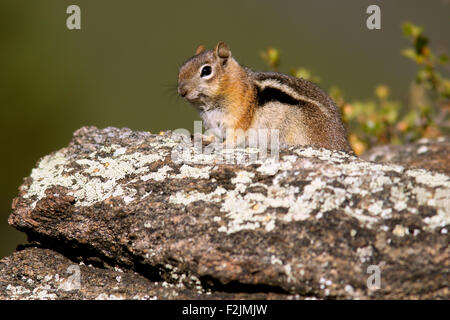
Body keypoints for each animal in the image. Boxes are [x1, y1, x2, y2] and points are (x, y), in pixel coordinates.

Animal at [178, 42, 354, 152]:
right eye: (181, 68)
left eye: (206, 71)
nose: (181, 91)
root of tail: (341, 140)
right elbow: (215, 135)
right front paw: (203, 137)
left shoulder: (239, 120)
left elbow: (234, 139)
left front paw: (221, 146)